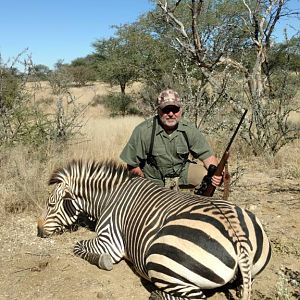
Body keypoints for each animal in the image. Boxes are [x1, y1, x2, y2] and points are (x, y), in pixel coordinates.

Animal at [37, 159, 272, 298]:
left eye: (51, 204)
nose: (38, 230)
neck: (110, 197)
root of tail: (238, 238)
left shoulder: (109, 241)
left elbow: (78, 247)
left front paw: (102, 261)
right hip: (250, 271)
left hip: (160, 260)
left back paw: (156, 294)